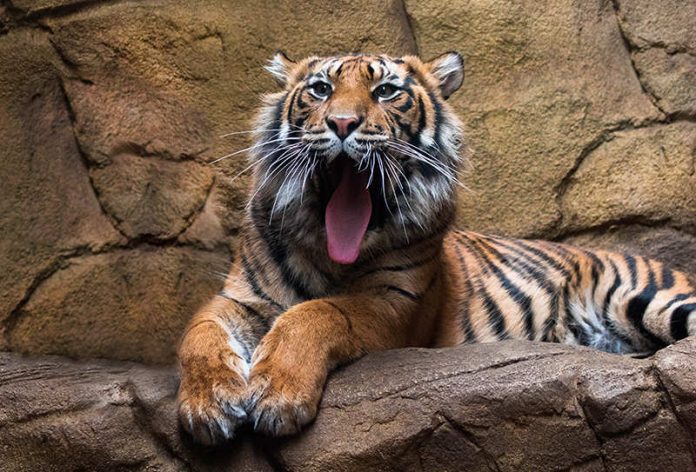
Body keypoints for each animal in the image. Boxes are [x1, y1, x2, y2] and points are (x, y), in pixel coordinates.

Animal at [178, 52, 696, 446]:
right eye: (321, 89)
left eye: (386, 91)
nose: (342, 123)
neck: (330, 251)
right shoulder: (240, 298)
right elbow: (198, 335)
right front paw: (209, 404)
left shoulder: (394, 304)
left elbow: (318, 312)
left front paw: (277, 396)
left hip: (656, 299)